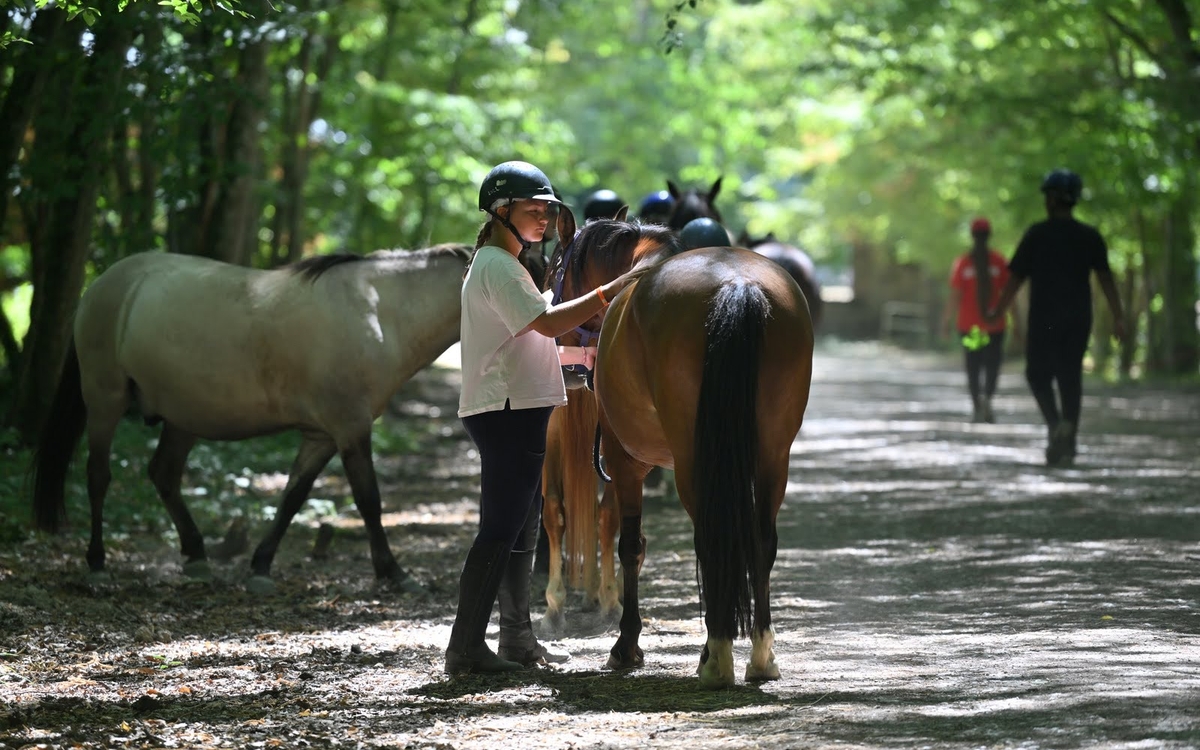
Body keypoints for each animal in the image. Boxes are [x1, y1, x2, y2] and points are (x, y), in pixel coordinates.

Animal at [31, 243, 473, 595]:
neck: (377, 312)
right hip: (104, 401)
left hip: (183, 416)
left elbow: (293, 496)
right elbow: (369, 501)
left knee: (163, 474)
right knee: (98, 476)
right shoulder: (351, 428)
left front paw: (260, 566)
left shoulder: (321, 435)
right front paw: (394, 573)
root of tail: (102, 285)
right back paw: (97, 563)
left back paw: (197, 557)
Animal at [547, 218, 814, 688]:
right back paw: (761, 656)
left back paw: (716, 657)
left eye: (555, 270)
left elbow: (631, 546)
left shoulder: (625, 461)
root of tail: (738, 283)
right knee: (762, 540)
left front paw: (626, 646)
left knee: (710, 539)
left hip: (693, 462)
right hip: (772, 456)